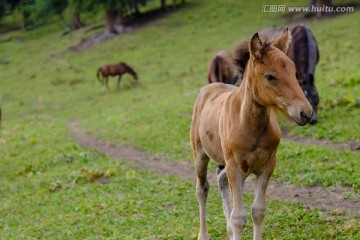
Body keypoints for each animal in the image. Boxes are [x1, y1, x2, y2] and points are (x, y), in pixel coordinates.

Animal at [191, 28, 312, 240]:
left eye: (294, 71)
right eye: (270, 76)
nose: (305, 113)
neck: (250, 126)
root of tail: (209, 88)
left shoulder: (267, 165)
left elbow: (258, 211)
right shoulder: (234, 167)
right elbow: (239, 217)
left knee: (221, 179)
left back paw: (228, 231)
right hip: (201, 154)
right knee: (202, 188)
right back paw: (203, 235)